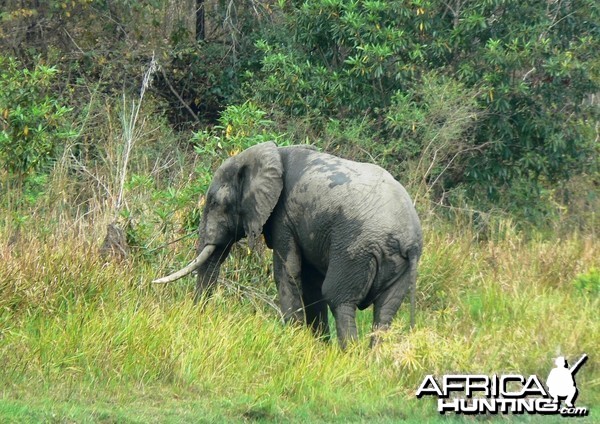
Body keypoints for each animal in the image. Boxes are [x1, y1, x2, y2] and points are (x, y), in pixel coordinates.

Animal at [155, 142, 422, 348]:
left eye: (214, 202)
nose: (198, 319)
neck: (270, 154)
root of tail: (409, 239)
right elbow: (311, 283)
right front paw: (317, 347)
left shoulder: (284, 217)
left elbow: (288, 273)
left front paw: (295, 341)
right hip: (398, 266)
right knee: (385, 310)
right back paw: (372, 360)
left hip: (356, 249)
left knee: (339, 299)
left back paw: (350, 356)